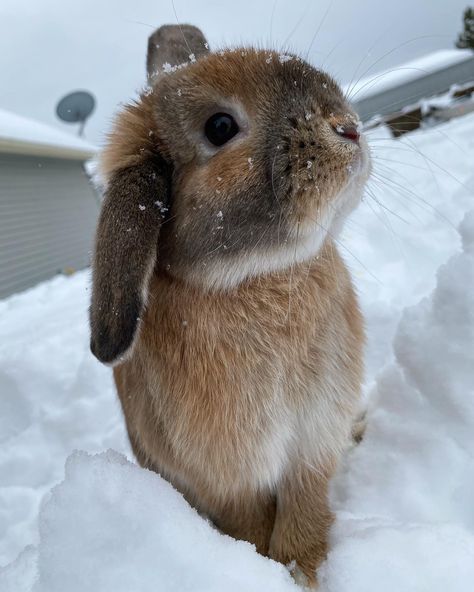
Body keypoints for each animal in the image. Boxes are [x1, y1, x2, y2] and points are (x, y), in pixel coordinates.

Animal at [89, 24, 370, 588]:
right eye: (220, 127)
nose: (348, 128)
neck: (257, 277)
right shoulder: (230, 477)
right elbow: (251, 525)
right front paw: (274, 569)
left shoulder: (313, 442)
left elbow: (305, 507)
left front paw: (305, 567)